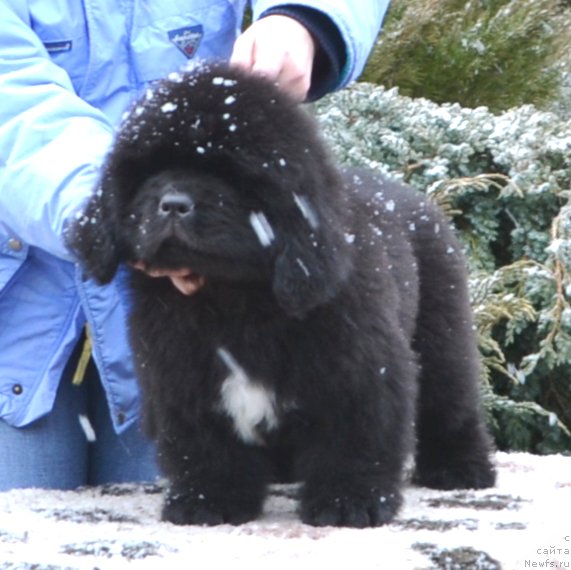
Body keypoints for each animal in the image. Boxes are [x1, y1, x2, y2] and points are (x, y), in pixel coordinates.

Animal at [68, 61, 496, 524]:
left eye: (230, 173)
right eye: (151, 170)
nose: (173, 204)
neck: (232, 298)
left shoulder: (360, 373)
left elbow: (354, 441)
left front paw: (349, 503)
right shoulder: (180, 375)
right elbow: (205, 448)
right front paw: (208, 501)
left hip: (442, 337)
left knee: (451, 405)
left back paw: (461, 467)